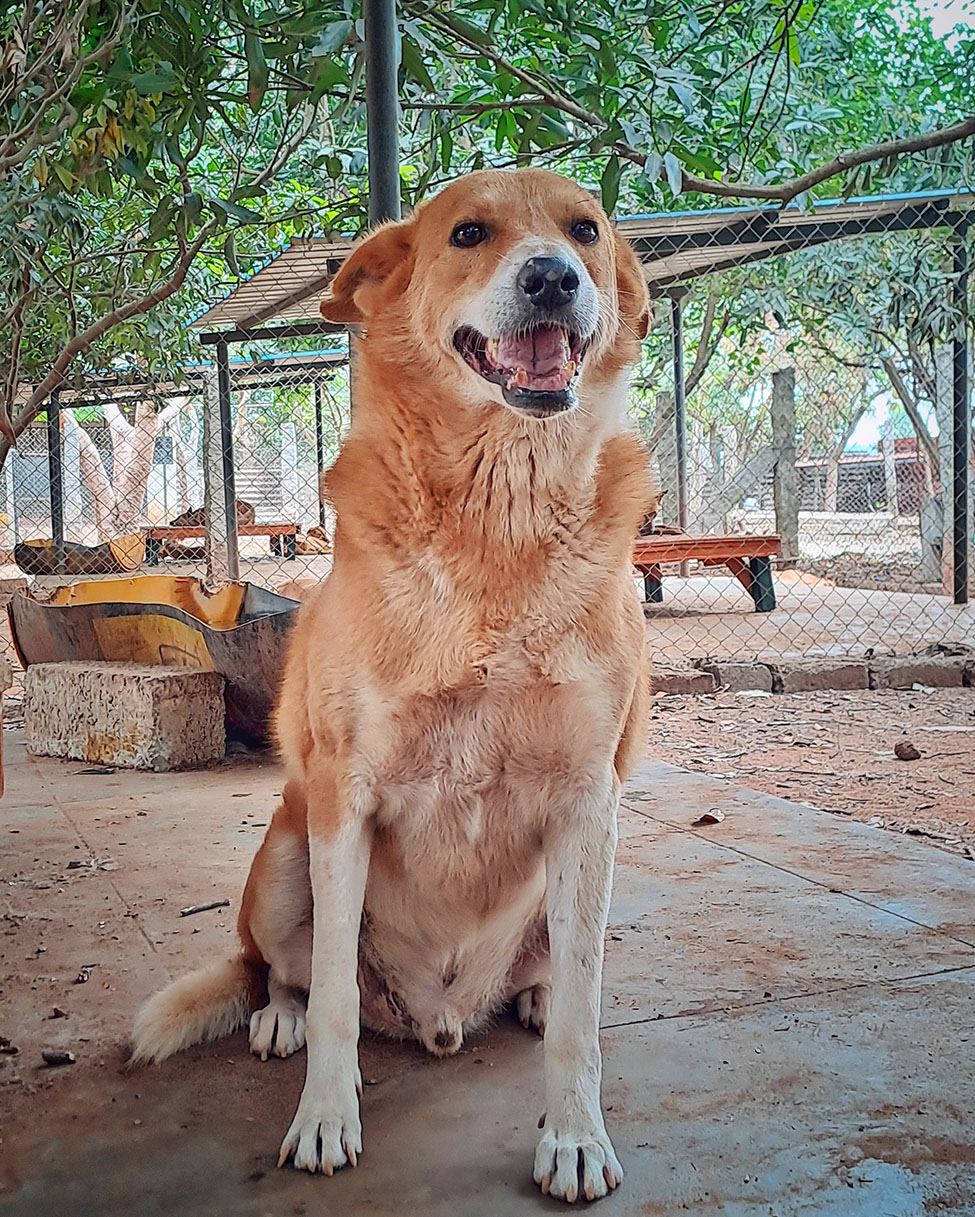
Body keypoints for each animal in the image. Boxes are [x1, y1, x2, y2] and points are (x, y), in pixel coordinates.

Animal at [131, 167, 653, 1204]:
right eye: (468, 234)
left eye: (585, 229)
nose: (552, 277)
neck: (497, 525)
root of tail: (437, 1014)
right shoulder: (346, 795)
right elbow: (334, 991)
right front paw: (324, 1118)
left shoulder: (589, 803)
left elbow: (584, 1013)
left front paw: (575, 1135)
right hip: (286, 851)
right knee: (281, 972)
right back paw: (279, 1016)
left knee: (555, 980)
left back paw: (531, 996)